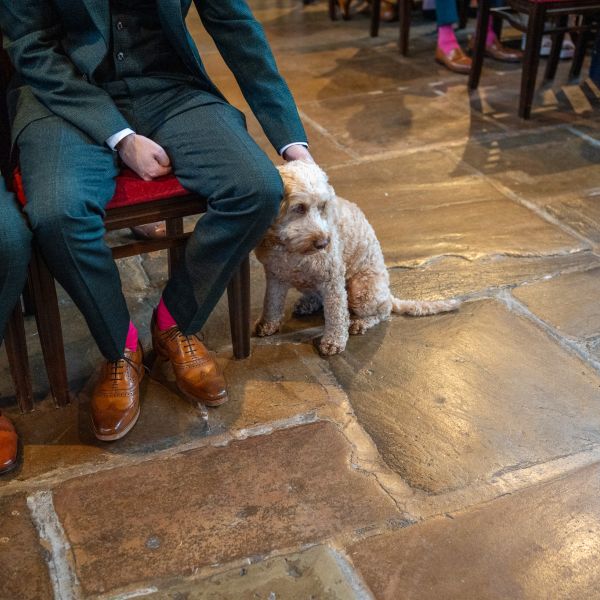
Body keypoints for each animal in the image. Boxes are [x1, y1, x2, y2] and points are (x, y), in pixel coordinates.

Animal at [254, 161, 460, 356]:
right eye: (299, 208)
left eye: (322, 206)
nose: (324, 243)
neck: (288, 247)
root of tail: (388, 294)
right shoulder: (275, 275)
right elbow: (271, 302)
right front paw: (267, 324)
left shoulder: (332, 279)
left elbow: (337, 314)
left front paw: (334, 341)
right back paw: (308, 303)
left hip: (361, 290)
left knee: (383, 311)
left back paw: (360, 322)